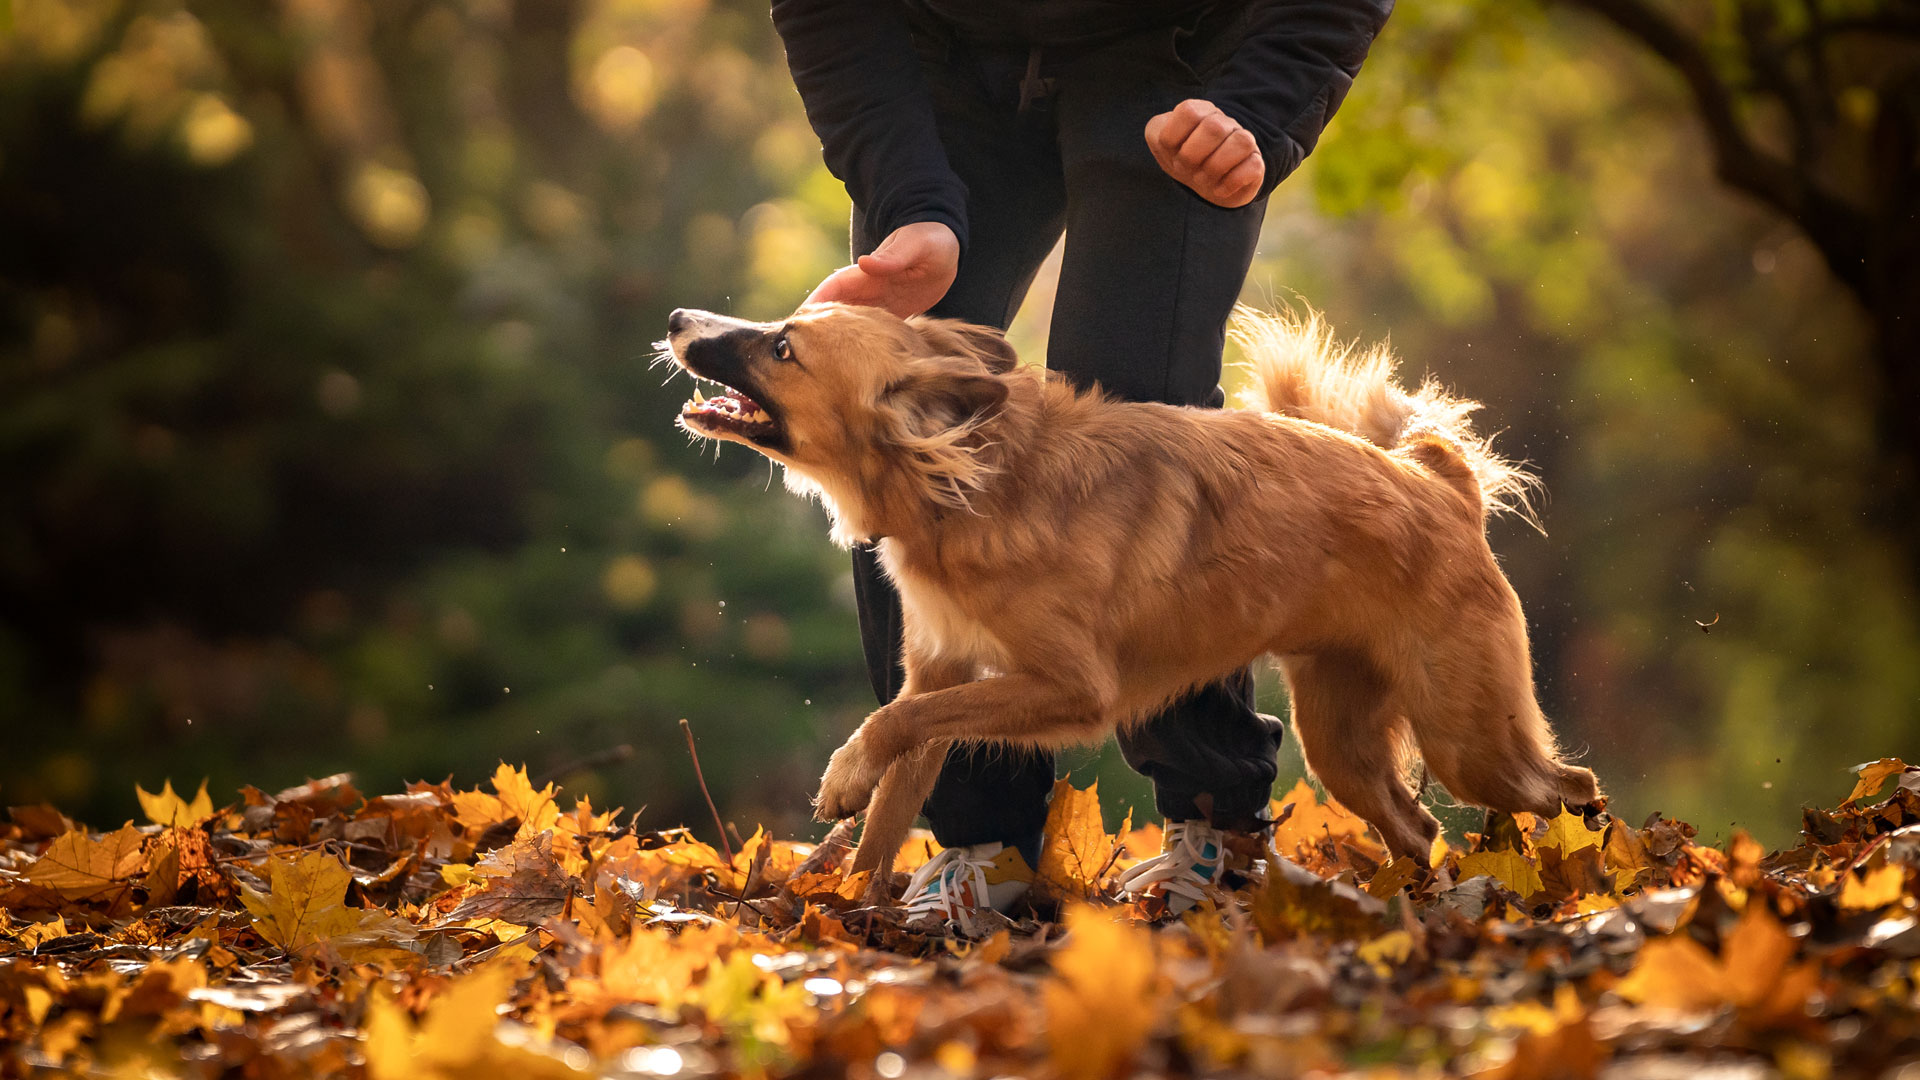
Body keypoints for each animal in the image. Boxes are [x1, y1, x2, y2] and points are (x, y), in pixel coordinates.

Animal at [668, 297, 1597, 895]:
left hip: (1466, 738)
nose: (679, 321)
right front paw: (837, 918)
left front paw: (842, 779)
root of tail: (1438, 485)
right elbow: (894, 798)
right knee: (1419, 827)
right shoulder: (943, 669)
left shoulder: (1072, 689)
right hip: (1343, 740)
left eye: (784, 349)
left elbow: (894, 727)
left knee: (1568, 788)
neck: (975, 487)